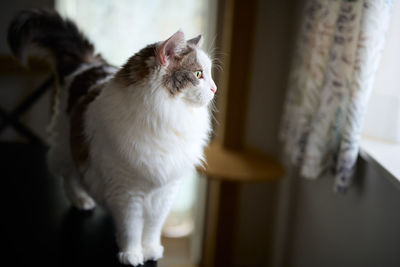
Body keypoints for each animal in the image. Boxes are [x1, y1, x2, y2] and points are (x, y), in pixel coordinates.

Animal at [7, 8, 216, 267]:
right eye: (198, 74)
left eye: (210, 74)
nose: (215, 89)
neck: (166, 118)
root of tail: (88, 65)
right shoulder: (127, 192)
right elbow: (132, 228)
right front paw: (131, 254)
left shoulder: (164, 192)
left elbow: (152, 228)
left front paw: (150, 250)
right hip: (66, 147)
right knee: (68, 177)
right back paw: (81, 200)